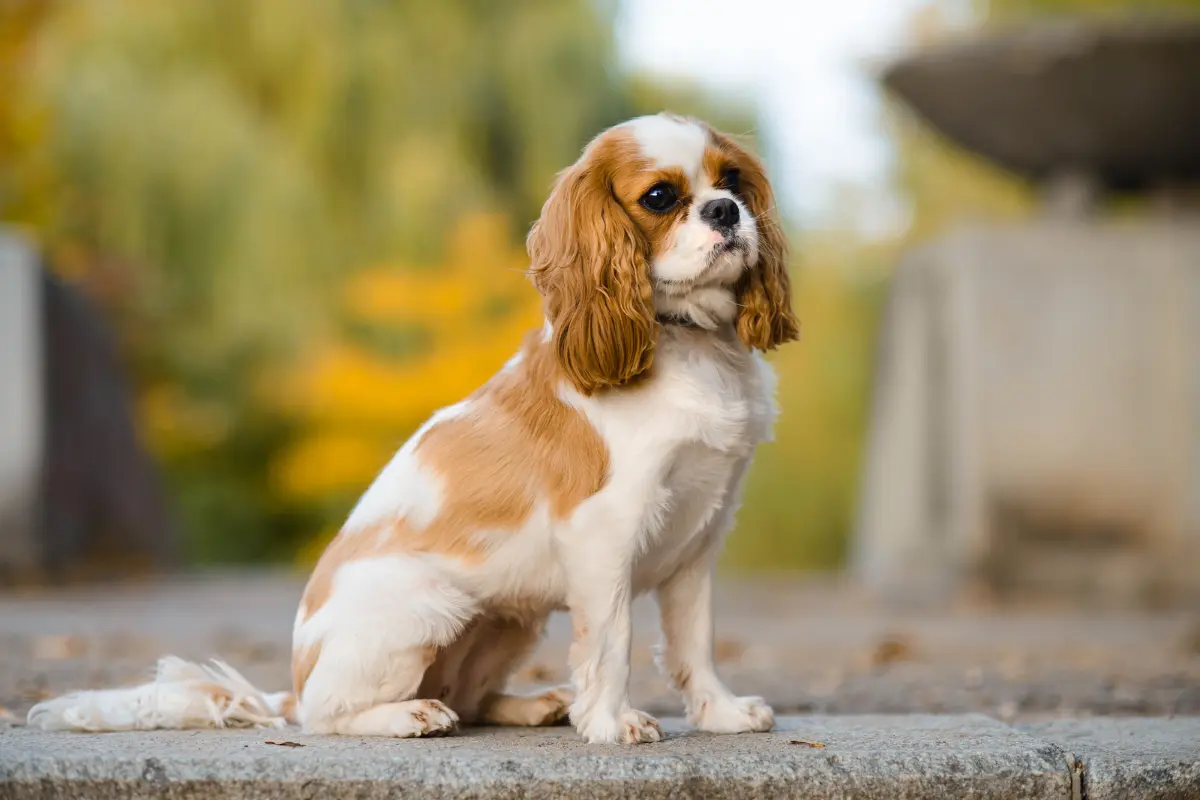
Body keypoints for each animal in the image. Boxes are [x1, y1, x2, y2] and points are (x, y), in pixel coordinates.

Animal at [28, 110, 796, 743]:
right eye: (661, 198)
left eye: (733, 180)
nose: (726, 210)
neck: (689, 341)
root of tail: (293, 683)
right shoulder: (605, 532)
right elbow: (613, 641)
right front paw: (611, 724)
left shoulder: (700, 538)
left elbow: (695, 642)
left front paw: (721, 713)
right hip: (425, 606)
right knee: (330, 715)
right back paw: (410, 715)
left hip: (511, 619)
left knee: (472, 697)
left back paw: (534, 704)